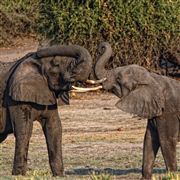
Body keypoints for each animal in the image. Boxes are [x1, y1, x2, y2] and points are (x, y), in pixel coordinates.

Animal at [0, 44, 92, 176]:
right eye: (56, 64)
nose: (35, 53)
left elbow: (54, 128)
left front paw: (59, 175)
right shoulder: (14, 97)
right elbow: (24, 129)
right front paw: (19, 174)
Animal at [94, 41, 180, 179]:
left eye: (118, 78)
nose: (101, 46)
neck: (152, 78)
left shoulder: (168, 111)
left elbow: (166, 140)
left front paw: (172, 176)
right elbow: (150, 139)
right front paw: (145, 178)